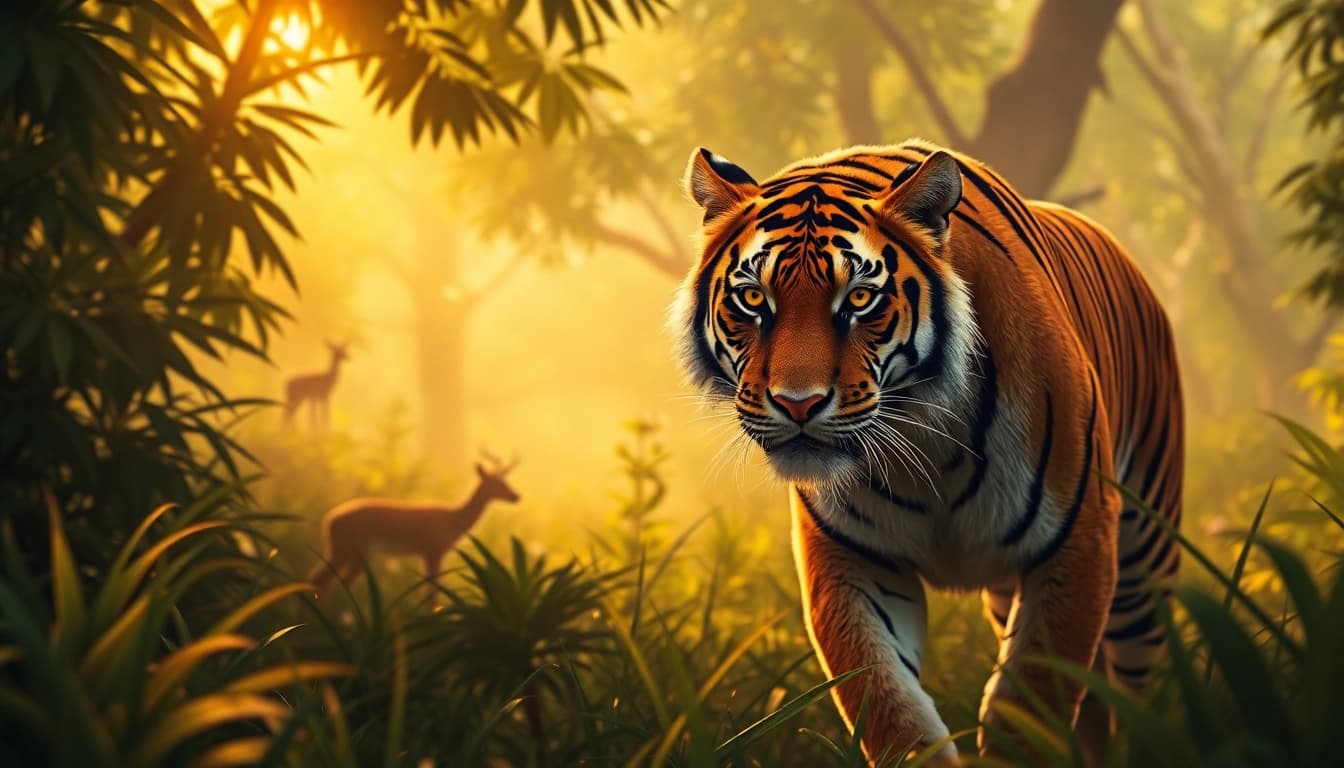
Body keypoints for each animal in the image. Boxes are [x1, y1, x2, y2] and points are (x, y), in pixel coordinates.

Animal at [671, 139, 1183, 765]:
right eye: (752, 298)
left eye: (859, 299)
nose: (798, 403)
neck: (923, 445)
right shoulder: (853, 559)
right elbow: (889, 706)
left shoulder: (1077, 539)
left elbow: (1032, 704)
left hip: (1143, 568)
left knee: (1132, 689)